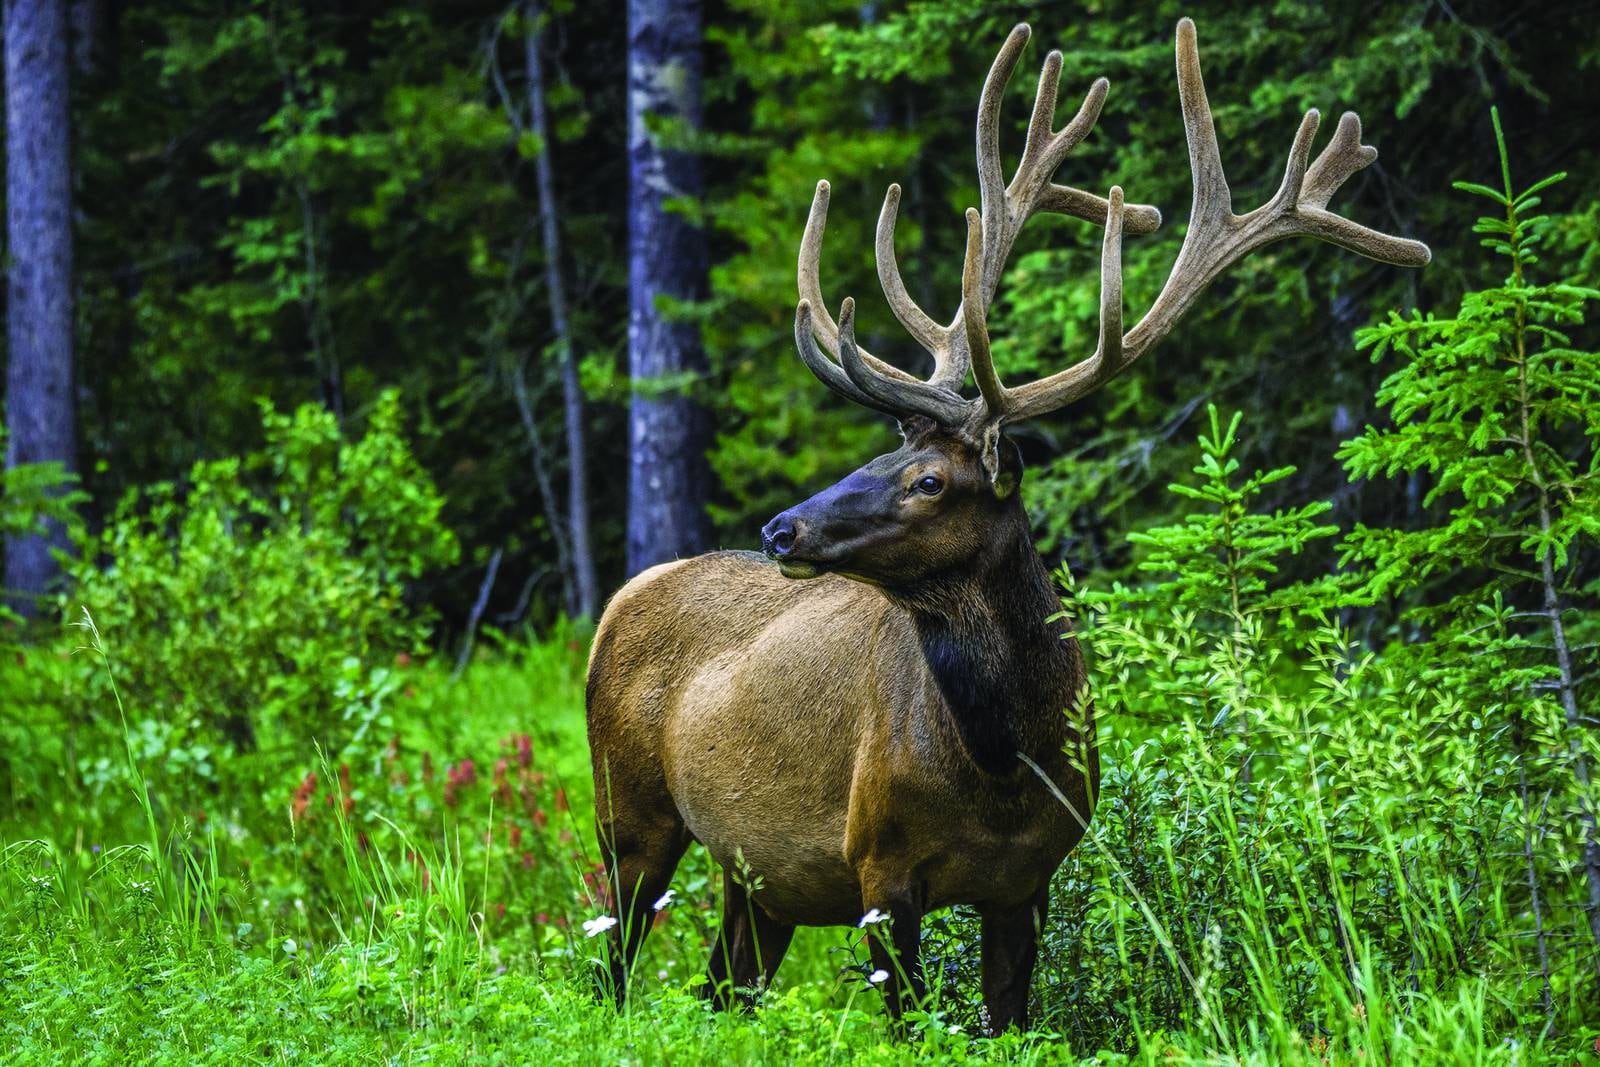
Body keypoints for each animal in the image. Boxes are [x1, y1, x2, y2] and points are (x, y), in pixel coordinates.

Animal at [585, 17, 1429, 1033]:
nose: (783, 528)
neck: (1002, 767)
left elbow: (1008, 1014)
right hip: (629, 814)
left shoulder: (1032, 878)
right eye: (886, 458)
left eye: (928, 480)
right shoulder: (877, 864)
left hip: (756, 879)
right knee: (607, 969)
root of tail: (619, 599)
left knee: (721, 987)